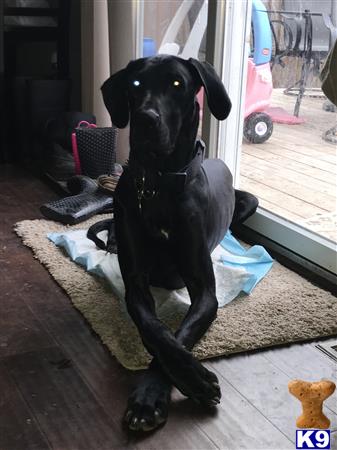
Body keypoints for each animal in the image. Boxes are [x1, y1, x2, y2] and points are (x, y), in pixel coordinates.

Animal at [100, 56, 258, 432]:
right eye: (136, 85)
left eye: (176, 84)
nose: (145, 119)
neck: (158, 183)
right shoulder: (136, 284)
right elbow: (157, 330)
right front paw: (181, 382)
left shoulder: (205, 292)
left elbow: (179, 336)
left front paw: (159, 392)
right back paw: (110, 239)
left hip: (250, 201)